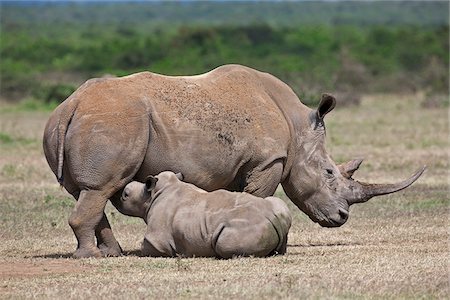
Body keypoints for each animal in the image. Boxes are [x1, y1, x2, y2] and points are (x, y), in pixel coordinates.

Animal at [119, 171, 292, 258]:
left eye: (125, 195)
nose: (120, 196)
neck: (150, 195)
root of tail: (273, 219)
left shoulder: (157, 240)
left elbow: (146, 247)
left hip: (247, 227)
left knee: (224, 244)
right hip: (278, 211)